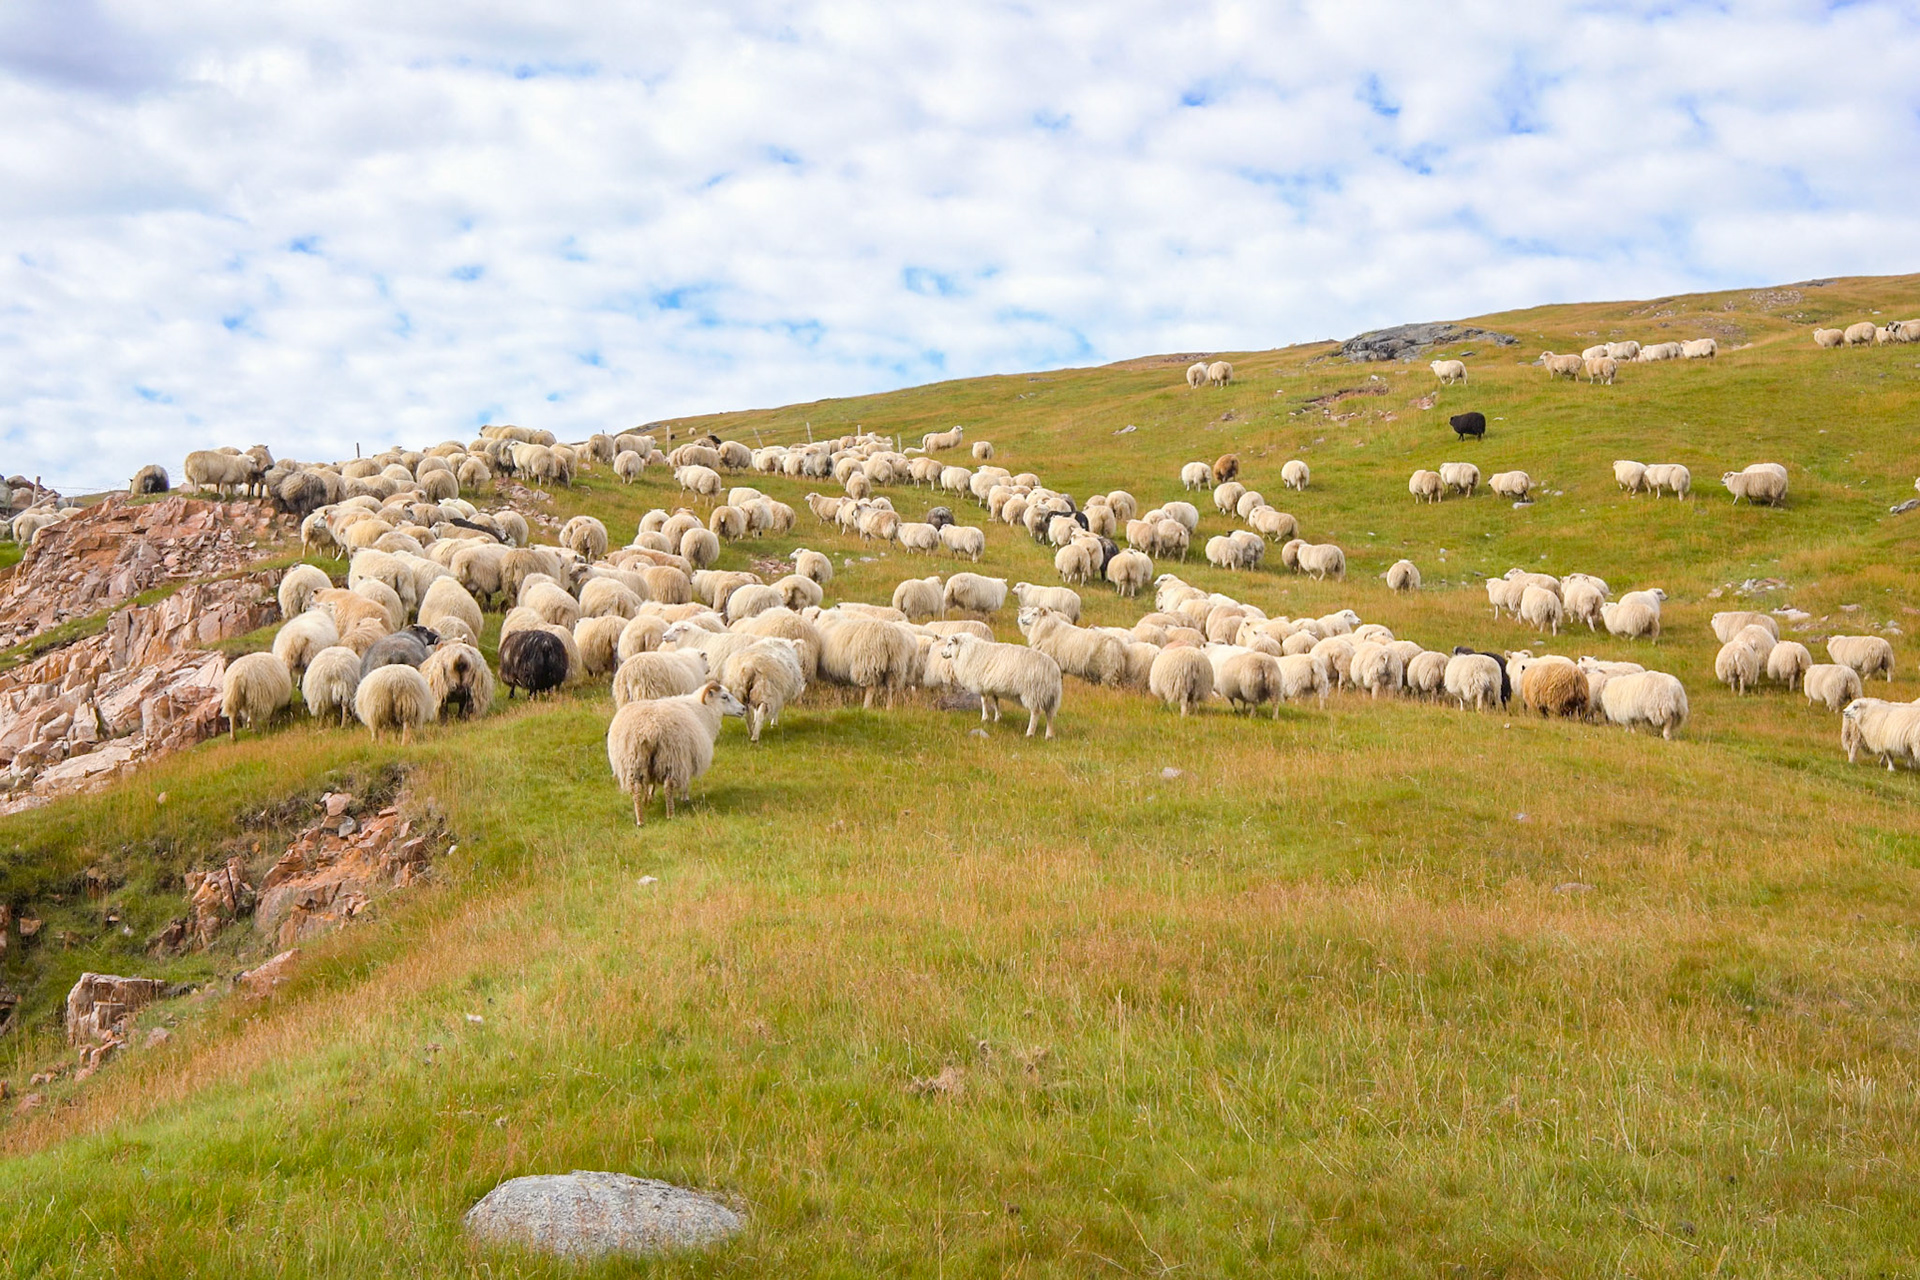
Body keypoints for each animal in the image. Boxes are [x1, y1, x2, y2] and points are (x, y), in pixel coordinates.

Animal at [606, 682, 747, 824]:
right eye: (724, 697)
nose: (744, 708)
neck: (704, 710)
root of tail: (648, 729)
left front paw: (649, 798)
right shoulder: (687, 757)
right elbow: (686, 780)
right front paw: (685, 798)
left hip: (634, 761)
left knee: (636, 789)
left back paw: (640, 819)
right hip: (671, 756)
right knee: (668, 787)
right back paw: (670, 814)